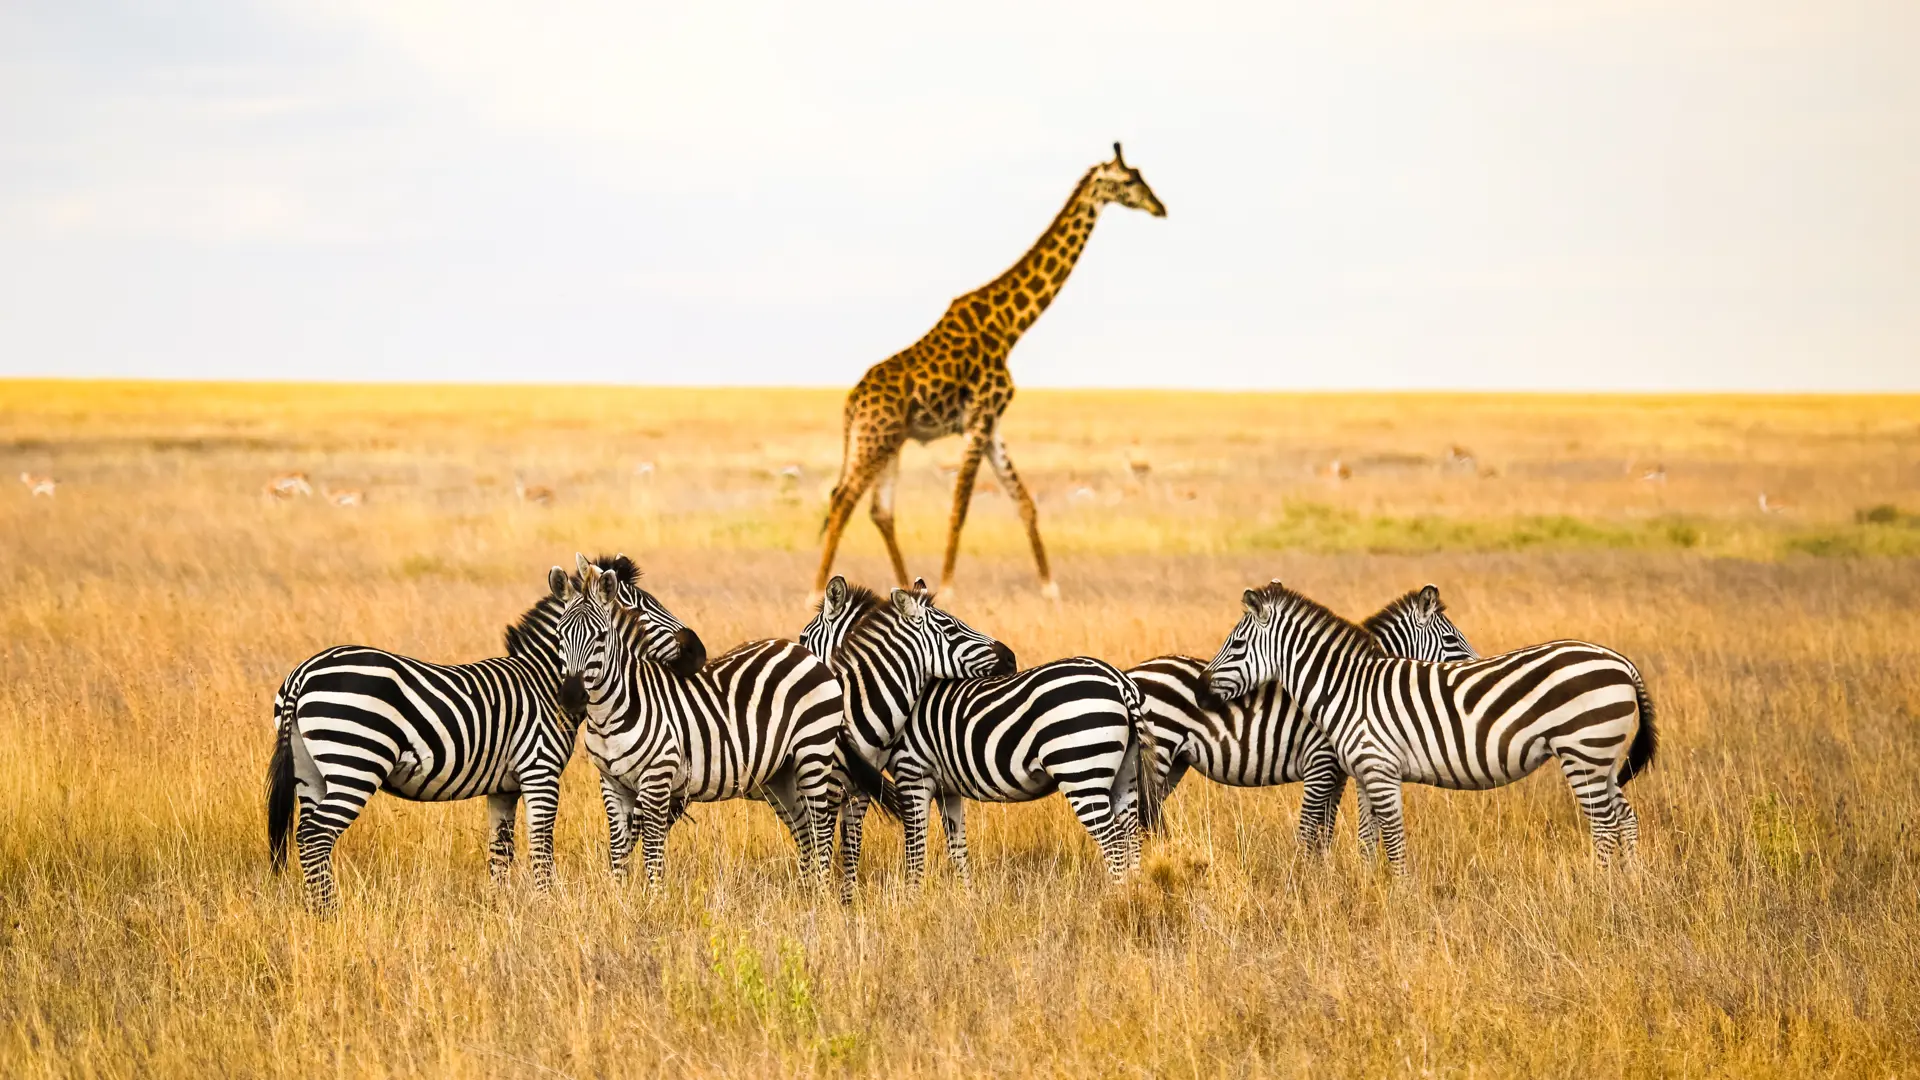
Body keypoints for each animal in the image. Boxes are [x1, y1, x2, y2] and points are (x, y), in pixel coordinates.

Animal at [554, 555, 845, 887]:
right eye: (560, 635)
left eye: (601, 637)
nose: (571, 696)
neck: (612, 711)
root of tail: (802, 651)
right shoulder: (612, 784)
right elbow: (618, 851)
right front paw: (619, 894)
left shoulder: (657, 780)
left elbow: (652, 854)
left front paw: (655, 897)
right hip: (781, 773)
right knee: (806, 831)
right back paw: (806, 890)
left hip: (813, 753)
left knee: (821, 829)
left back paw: (821, 891)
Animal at [811, 577, 1161, 888]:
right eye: (952, 628)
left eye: (806, 639)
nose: (1010, 657)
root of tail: (1118, 680)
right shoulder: (947, 788)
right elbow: (957, 850)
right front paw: (966, 899)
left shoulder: (912, 773)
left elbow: (915, 852)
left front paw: (911, 900)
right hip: (1124, 775)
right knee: (1130, 836)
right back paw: (1132, 895)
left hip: (1081, 772)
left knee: (1113, 841)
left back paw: (1116, 898)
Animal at [815, 143, 1166, 602]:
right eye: (1129, 181)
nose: (1159, 207)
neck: (1010, 327)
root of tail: (852, 401)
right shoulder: (979, 419)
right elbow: (960, 505)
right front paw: (948, 588)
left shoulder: (993, 424)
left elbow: (1024, 501)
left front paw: (1050, 588)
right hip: (875, 439)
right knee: (843, 498)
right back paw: (816, 592)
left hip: (889, 441)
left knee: (879, 509)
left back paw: (901, 587)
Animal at [1128, 583, 1478, 854]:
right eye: (1452, 640)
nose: (1478, 666)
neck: (1347, 685)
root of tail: (1131, 674)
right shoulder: (1321, 762)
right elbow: (1311, 831)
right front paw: (1309, 880)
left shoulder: (1338, 773)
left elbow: (1326, 830)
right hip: (1160, 755)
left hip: (1174, 764)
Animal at [1202, 580, 1658, 872]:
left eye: (1236, 644)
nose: (1204, 689)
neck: (1348, 687)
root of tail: (1620, 661)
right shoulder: (1364, 772)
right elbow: (1368, 838)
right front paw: (1368, 887)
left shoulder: (1374, 770)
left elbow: (1391, 839)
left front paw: (1402, 896)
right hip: (1601, 757)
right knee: (1625, 817)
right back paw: (1628, 884)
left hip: (1583, 750)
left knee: (1604, 824)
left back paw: (1599, 886)